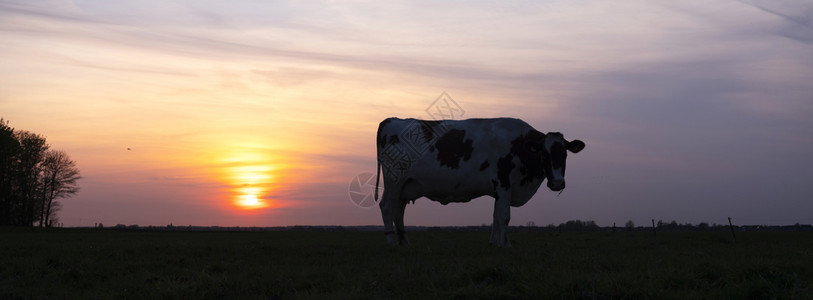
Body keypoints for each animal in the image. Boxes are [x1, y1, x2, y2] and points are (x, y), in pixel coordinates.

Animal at [374, 117, 584, 246]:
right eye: (544, 154)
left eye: (564, 155)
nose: (557, 183)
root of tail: (391, 120)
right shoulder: (504, 183)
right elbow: (504, 216)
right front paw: (506, 245)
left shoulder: (499, 190)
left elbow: (495, 216)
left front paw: (495, 243)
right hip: (394, 180)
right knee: (387, 207)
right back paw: (391, 243)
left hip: (406, 185)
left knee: (398, 211)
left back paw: (405, 242)